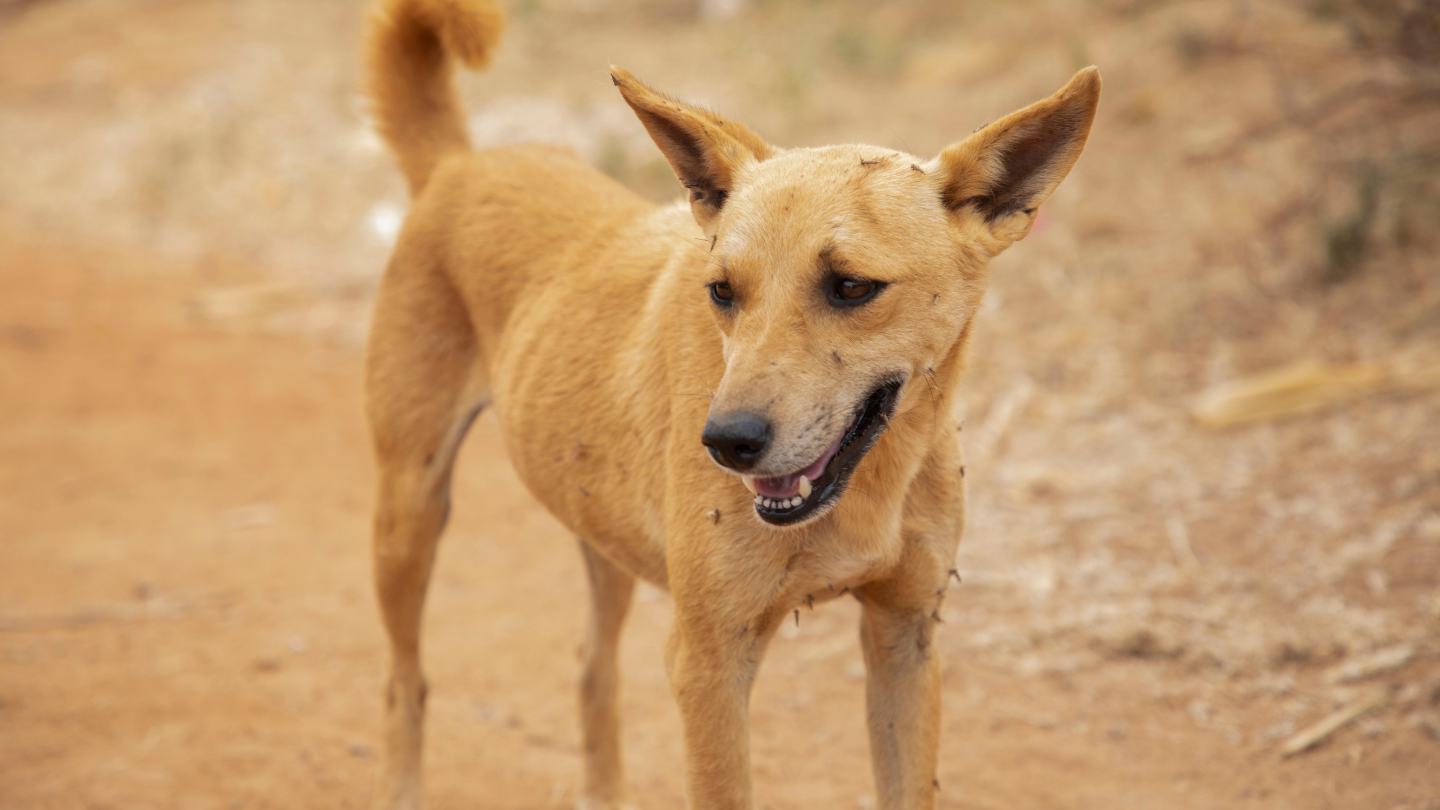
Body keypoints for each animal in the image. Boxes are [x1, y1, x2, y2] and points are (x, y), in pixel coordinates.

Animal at [362, 3, 1100, 801]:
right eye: (721, 291)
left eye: (851, 286)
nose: (726, 442)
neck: (870, 485)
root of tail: (459, 164)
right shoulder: (709, 664)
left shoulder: (907, 639)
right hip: (410, 512)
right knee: (405, 684)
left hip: (598, 528)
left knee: (591, 669)